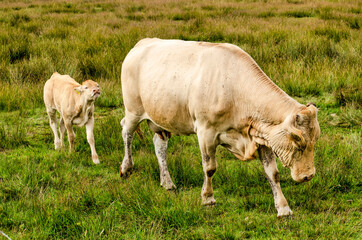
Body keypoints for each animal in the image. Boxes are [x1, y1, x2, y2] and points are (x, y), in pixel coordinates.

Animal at [120, 38, 320, 218]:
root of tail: (141, 44)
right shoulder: (205, 133)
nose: (308, 175)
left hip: (160, 120)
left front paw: (283, 208)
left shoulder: (262, 137)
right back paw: (126, 168)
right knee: (126, 133)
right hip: (133, 111)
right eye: (297, 141)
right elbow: (210, 168)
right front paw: (208, 198)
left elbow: (273, 174)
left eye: (315, 140)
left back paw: (167, 182)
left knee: (159, 146)